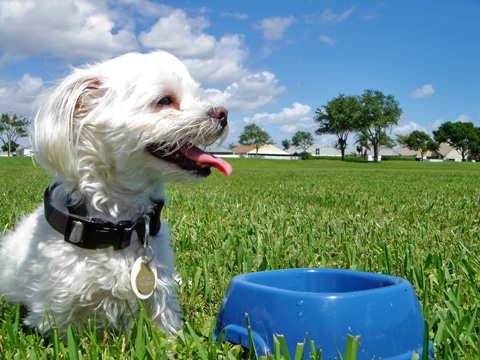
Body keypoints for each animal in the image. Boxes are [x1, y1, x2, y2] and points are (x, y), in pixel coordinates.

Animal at [0, 51, 232, 338]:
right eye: (164, 101)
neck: (117, 227)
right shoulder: (55, 315)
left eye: (197, 96)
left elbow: (164, 334)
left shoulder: (160, 301)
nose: (223, 113)